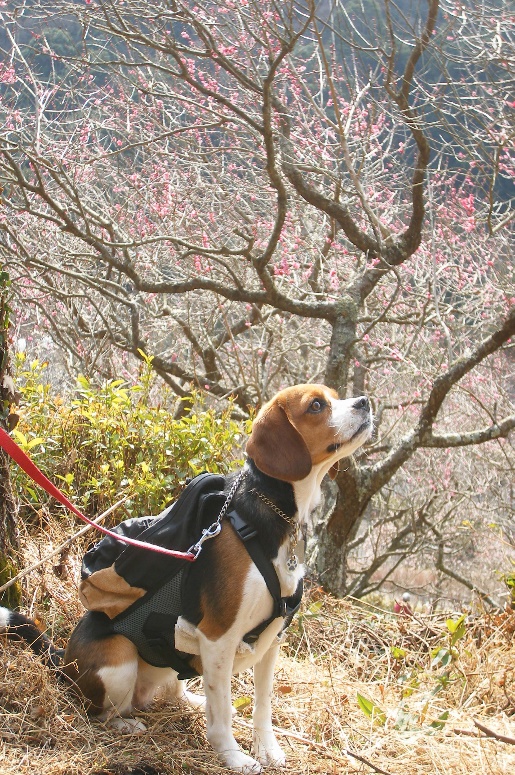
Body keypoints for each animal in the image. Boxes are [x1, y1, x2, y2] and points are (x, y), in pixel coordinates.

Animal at [0, 384, 370, 772]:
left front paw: (266, 748)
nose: (365, 402)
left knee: (179, 685)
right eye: (316, 405)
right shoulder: (218, 636)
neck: (271, 514)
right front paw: (232, 755)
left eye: (335, 396)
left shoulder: (273, 638)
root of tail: (65, 663)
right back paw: (125, 723)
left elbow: (263, 703)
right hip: (118, 658)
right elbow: (221, 712)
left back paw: (190, 699)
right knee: (101, 711)